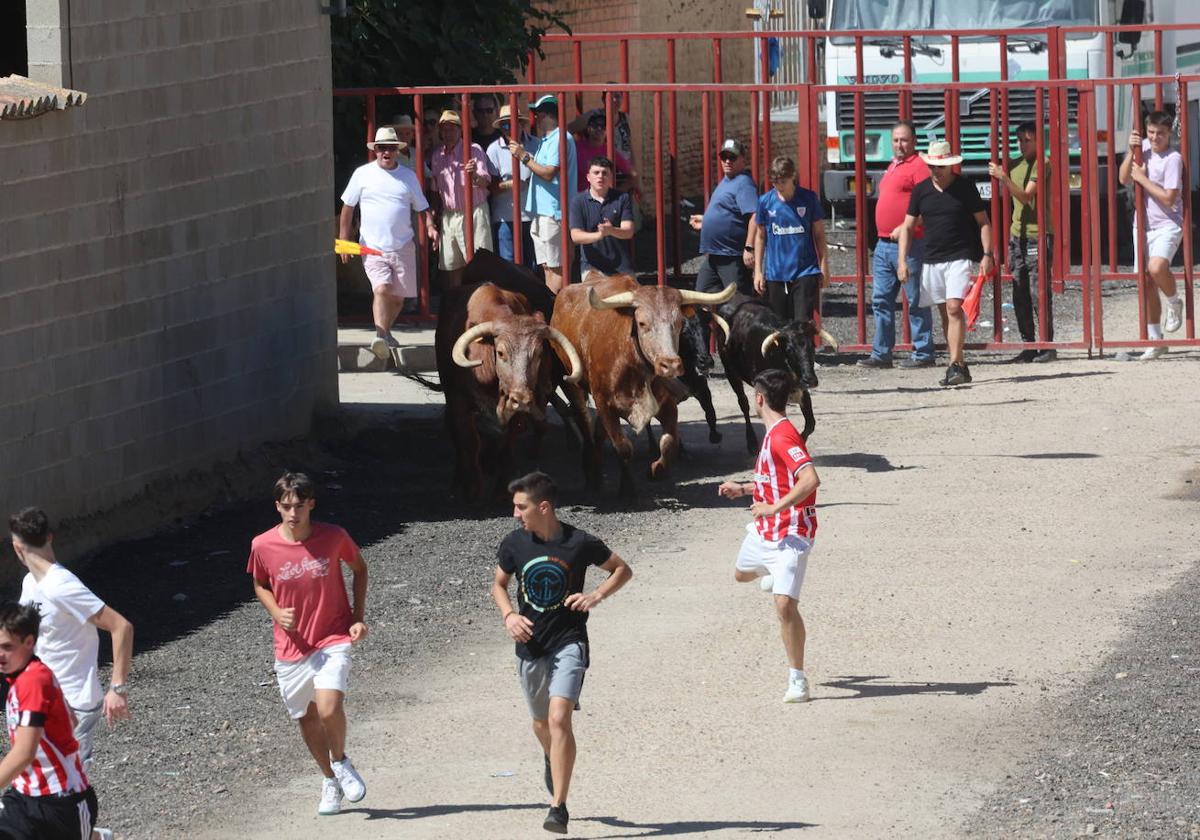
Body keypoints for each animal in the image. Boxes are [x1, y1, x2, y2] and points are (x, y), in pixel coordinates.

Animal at [436, 282, 580, 501]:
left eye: (538, 354)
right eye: (501, 352)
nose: (523, 399)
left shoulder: (515, 414)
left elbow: (506, 446)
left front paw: (500, 490)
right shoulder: (459, 404)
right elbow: (469, 444)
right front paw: (472, 490)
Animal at [549, 276, 734, 499]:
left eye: (679, 323)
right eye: (642, 323)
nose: (670, 364)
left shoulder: (666, 402)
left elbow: (669, 441)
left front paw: (656, 470)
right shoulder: (605, 405)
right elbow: (623, 447)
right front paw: (627, 489)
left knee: (598, 434)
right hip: (574, 388)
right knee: (586, 427)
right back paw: (591, 474)